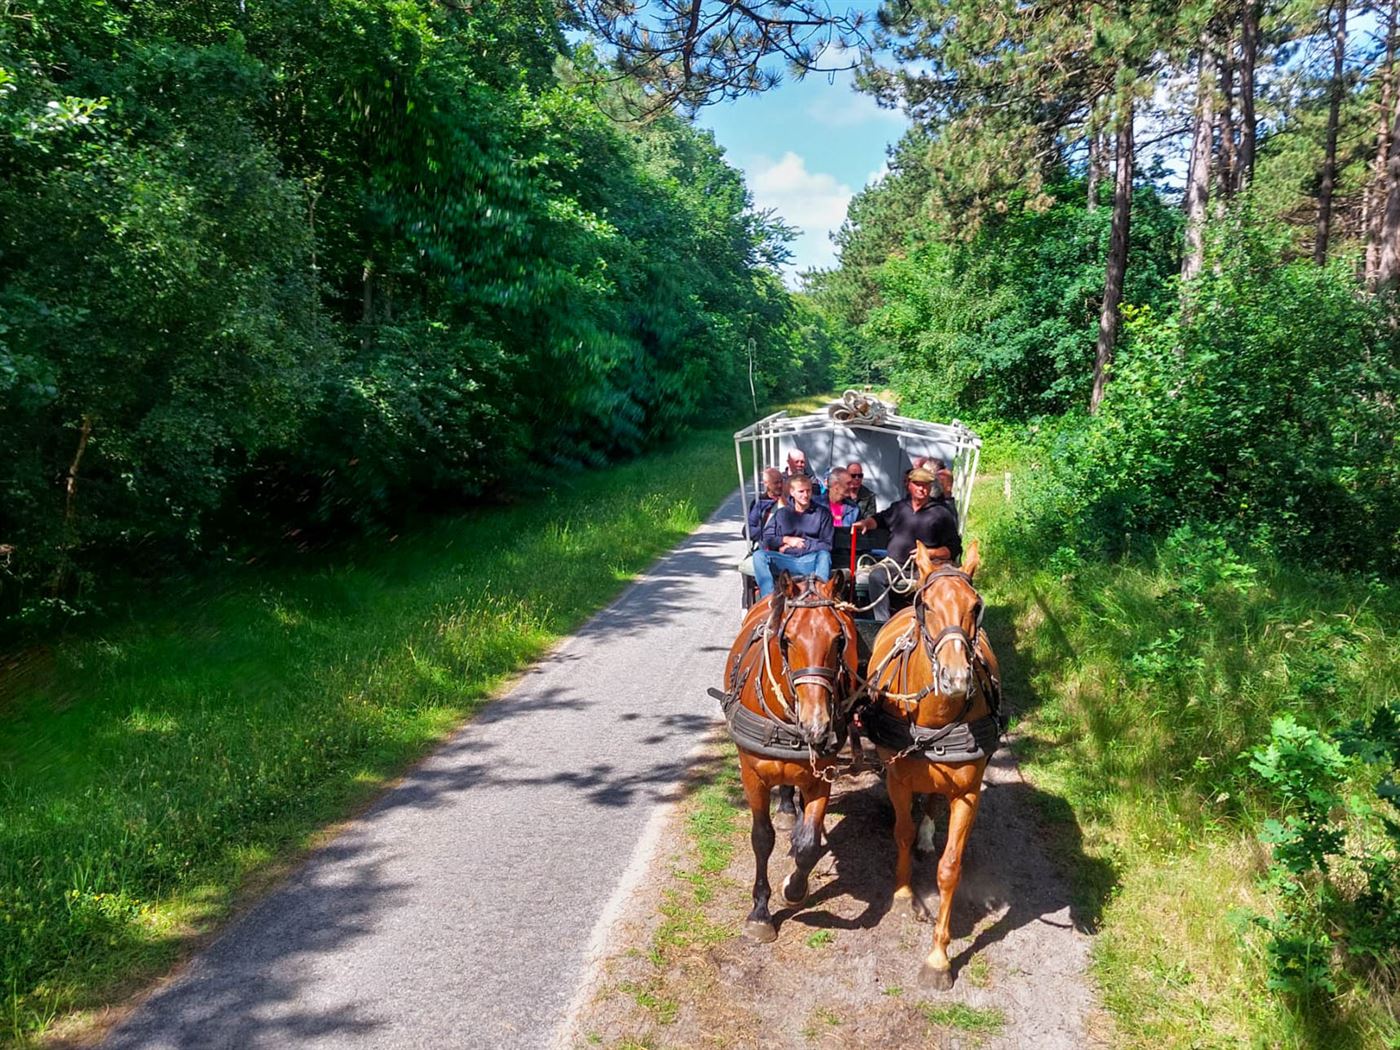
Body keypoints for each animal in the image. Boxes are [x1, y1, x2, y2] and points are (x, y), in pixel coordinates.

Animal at [716, 576, 856, 946]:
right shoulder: (751, 774)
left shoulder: (823, 775)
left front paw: (794, 888)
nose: (817, 724)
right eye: (787, 638)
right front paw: (760, 913)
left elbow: (808, 844)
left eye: (839, 639)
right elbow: (762, 838)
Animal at [862, 537, 1008, 991]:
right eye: (927, 605)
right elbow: (901, 832)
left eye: (976, 606)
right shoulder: (897, 776)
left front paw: (939, 957)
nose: (956, 678)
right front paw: (903, 893)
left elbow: (950, 868)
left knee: (931, 801)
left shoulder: (968, 792)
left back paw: (928, 832)